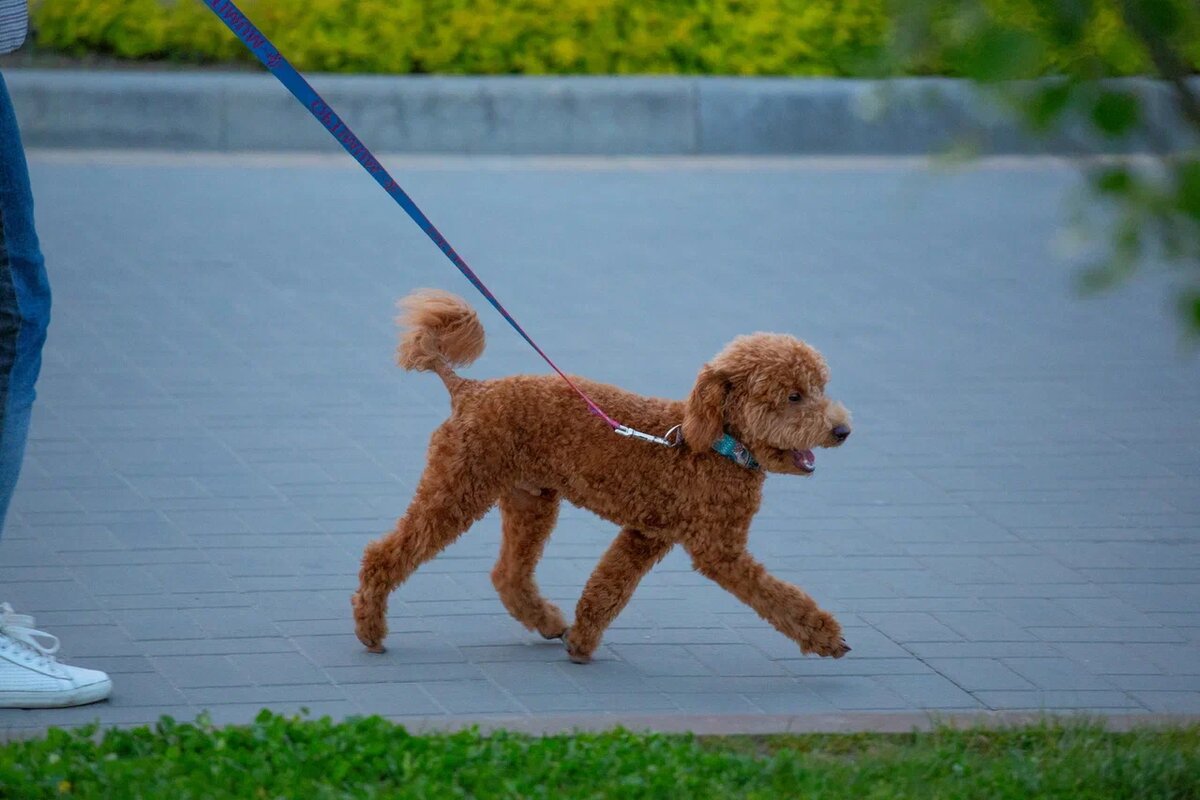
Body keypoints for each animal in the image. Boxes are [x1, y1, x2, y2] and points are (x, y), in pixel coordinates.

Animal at [352, 289, 853, 663]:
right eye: (793, 396)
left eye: (820, 388)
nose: (842, 430)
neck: (718, 444)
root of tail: (468, 391)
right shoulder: (719, 550)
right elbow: (778, 596)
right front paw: (825, 636)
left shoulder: (646, 534)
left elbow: (608, 587)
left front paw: (581, 641)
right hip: (457, 488)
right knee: (383, 555)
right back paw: (370, 628)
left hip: (530, 499)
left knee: (508, 575)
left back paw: (549, 622)